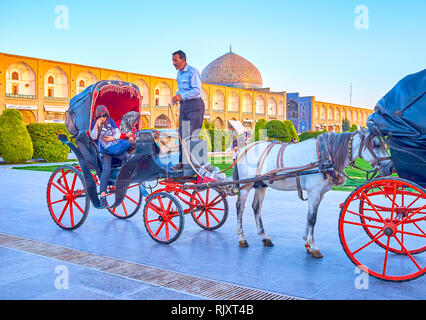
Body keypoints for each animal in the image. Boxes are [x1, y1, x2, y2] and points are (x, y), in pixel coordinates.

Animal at [233, 129, 392, 258]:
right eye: (376, 145)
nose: (390, 167)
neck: (325, 157)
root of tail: (244, 149)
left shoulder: (320, 193)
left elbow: (310, 217)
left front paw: (307, 243)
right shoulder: (314, 192)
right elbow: (312, 218)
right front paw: (313, 246)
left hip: (260, 184)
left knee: (256, 207)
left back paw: (264, 237)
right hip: (246, 184)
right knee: (240, 207)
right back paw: (241, 238)